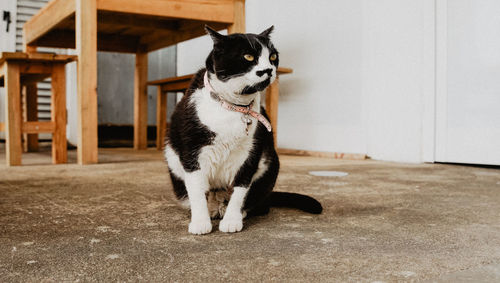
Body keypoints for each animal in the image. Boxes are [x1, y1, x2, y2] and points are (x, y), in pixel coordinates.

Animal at [163, 26, 320, 235]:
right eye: (248, 57)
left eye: (272, 57)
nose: (268, 70)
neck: (233, 107)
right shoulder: (191, 150)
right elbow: (196, 190)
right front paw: (200, 222)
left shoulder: (251, 152)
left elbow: (241, 189)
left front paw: (232, 220)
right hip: (174, 164)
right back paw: (212, 209)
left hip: (271, 164)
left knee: (260, 204)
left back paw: (231, 211)